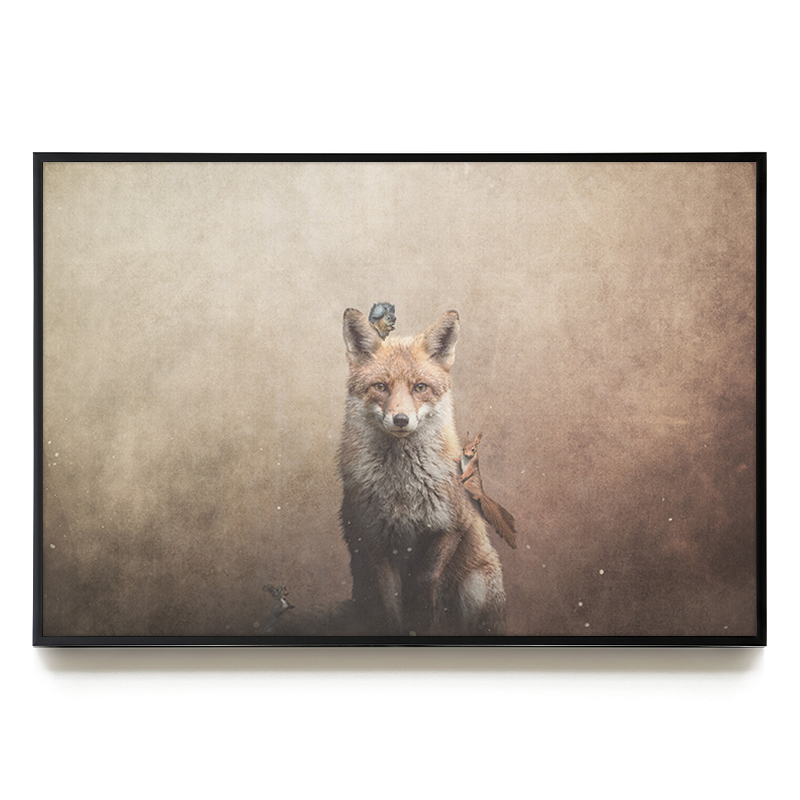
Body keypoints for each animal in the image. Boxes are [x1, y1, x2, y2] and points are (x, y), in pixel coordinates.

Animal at [338, 308, 507, 636]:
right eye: (381, 386)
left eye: (419, 387)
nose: (401, 419)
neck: (403, 491)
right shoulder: (373, 539)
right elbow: (389, 602)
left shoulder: (452, 526)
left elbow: (424, 578)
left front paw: (424, 619)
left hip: (475, 587)